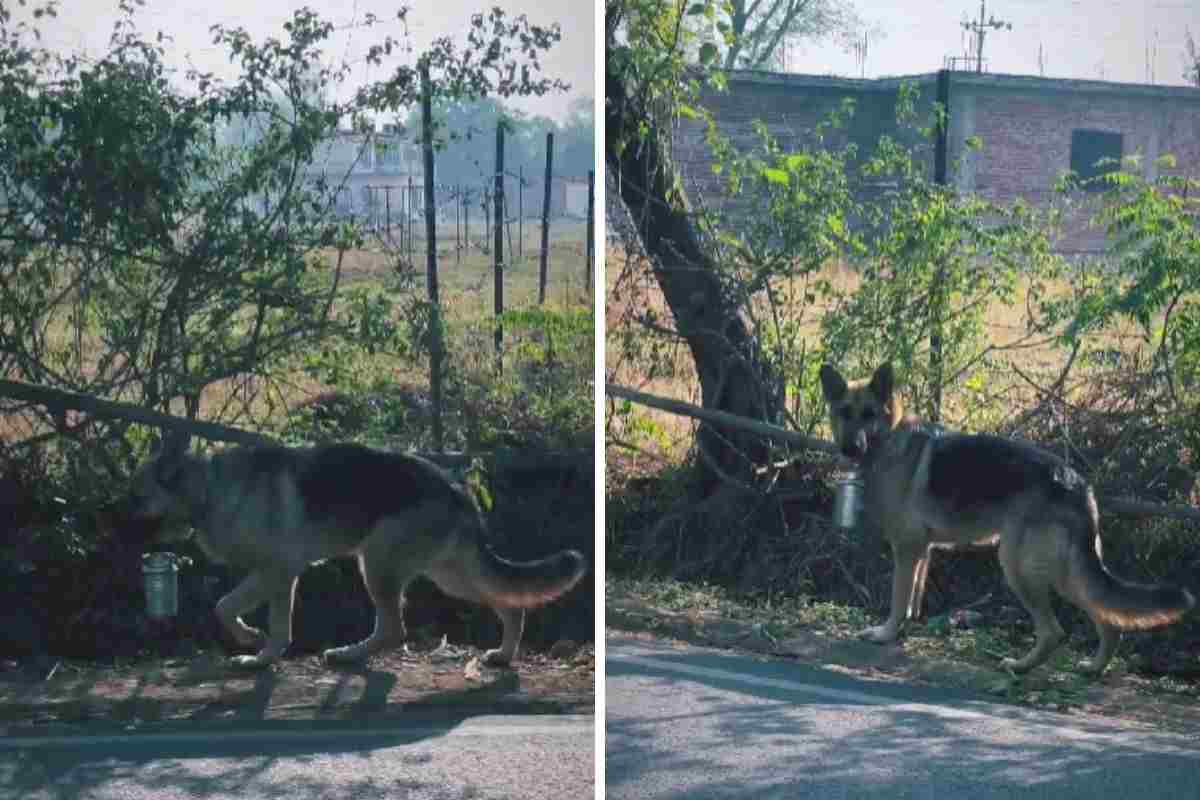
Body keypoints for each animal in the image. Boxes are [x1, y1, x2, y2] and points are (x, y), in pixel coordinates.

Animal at [125, 438, 585, 671]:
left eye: (137, 498)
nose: (115, 525)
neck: (209, 488)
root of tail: (456, 487)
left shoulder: (278, 571)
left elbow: (231, 609)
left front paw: (254, 646)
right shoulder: (275, 576)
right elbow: (251, 615)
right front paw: (260, 652)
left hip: (379, 566)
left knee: (395, 629)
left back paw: (349, 655)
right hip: (449, 575)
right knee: (511, 605)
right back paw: (504, 655)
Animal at [816, 364, 1190, 676]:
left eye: (868, 415)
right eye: (844, 413)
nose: (850, 448)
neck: (890, 439)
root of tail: (1077, 485)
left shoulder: (906, 550)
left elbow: (898, 598)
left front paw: (885, 633)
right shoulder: (922, 551)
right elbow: (913, 601)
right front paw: (905, 631)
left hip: (1018, 566)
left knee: (1054, 631)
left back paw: (1021, 666)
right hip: (1067, 572)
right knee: (1109, 621)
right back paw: (1093, 668)